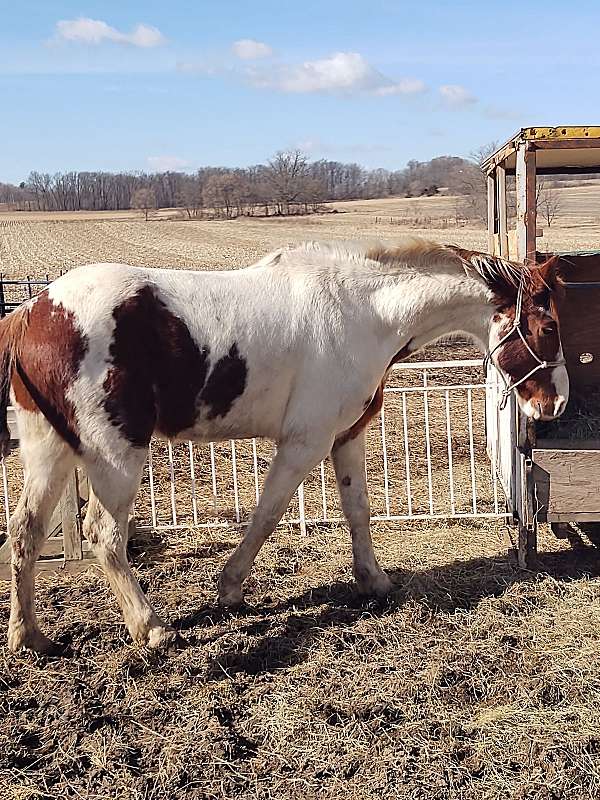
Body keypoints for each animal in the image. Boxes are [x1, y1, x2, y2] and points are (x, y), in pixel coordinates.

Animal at [1, 236, 568, 648]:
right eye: (547, 326)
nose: (555, 403)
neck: (362, 313)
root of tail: (36, 310)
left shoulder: (346, 436)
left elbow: (358, 510)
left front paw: (373, 581)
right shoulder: (305, 442)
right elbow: (267, 514)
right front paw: (230, 588)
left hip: (49, 450)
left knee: (26, 530)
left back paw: (29, 636)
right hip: (116, 455)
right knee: (103, 534)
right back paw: (150, 626)